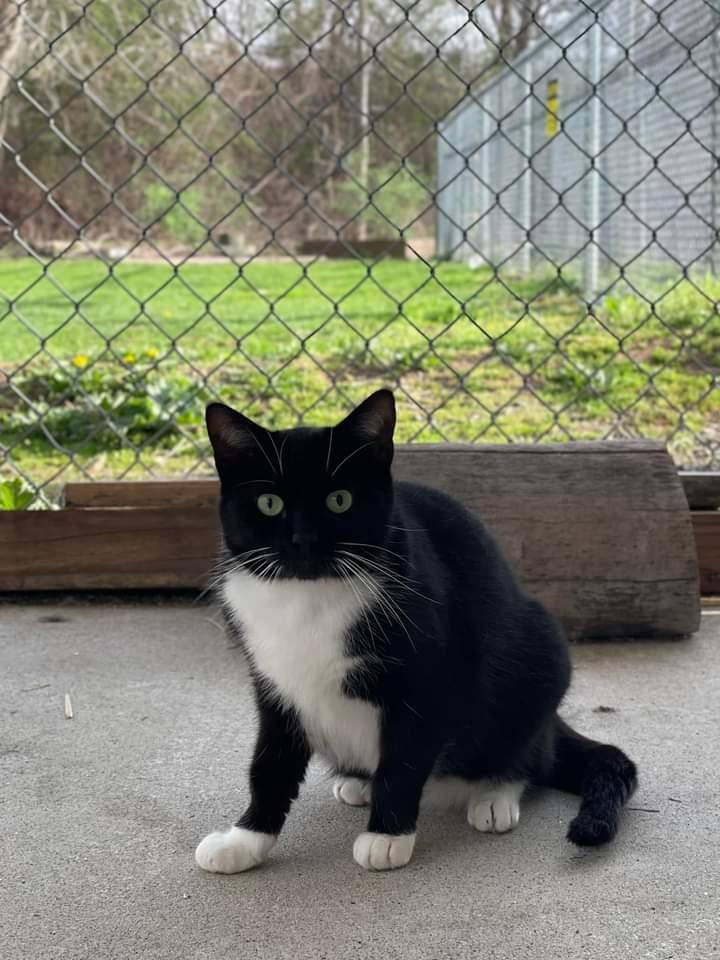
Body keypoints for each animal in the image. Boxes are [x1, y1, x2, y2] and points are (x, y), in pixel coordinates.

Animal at [195, 388, 636, 872]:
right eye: (269, 503)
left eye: (340, 500)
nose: (303, 541)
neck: (308, 598)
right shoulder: (273, 681)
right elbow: (270, 763)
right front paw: (244, 839)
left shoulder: (430, 674)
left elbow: (404, 759)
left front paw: (387, 836)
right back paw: (359, 783)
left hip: (541, 653)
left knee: (532, 754)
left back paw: (495, 794)